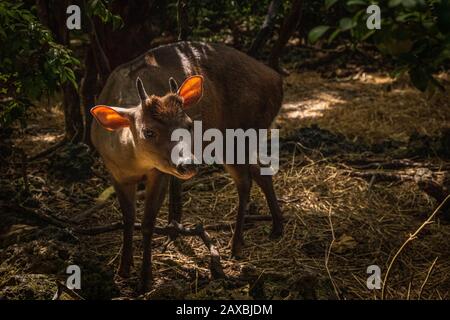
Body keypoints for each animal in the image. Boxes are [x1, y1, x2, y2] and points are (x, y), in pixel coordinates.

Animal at [89, 40, 284, 290]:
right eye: (148, 131)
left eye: (190, 124)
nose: (188, 164)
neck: (132, 162)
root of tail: (277, 79)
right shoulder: (115, 173)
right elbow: (128, 219)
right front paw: (123, 269)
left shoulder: (159, 172)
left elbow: (147, 223)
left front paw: (145, 279)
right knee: (261, 171)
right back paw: (276, 227)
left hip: (237, 132)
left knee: (245, 181)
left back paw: (236, 245)